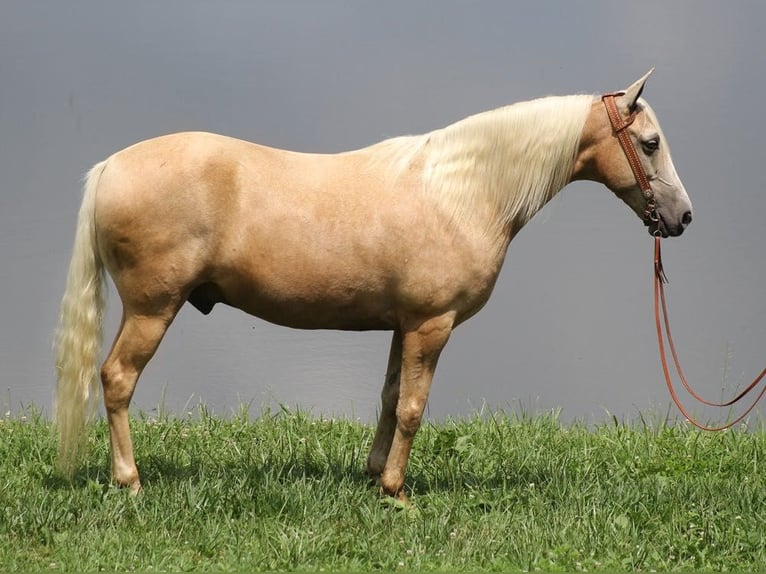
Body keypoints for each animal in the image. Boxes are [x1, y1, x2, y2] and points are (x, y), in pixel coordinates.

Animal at [52, 71, 688, 504]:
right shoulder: (431, 324)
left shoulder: (403, 324)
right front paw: (396, 492)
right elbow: (412, 406)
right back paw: (130, 482)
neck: (460, 192)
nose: (682, 217)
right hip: (152, 309)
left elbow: (388, 398)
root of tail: (111, 167)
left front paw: (373, 474)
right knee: (117, 379)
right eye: (650, 143)